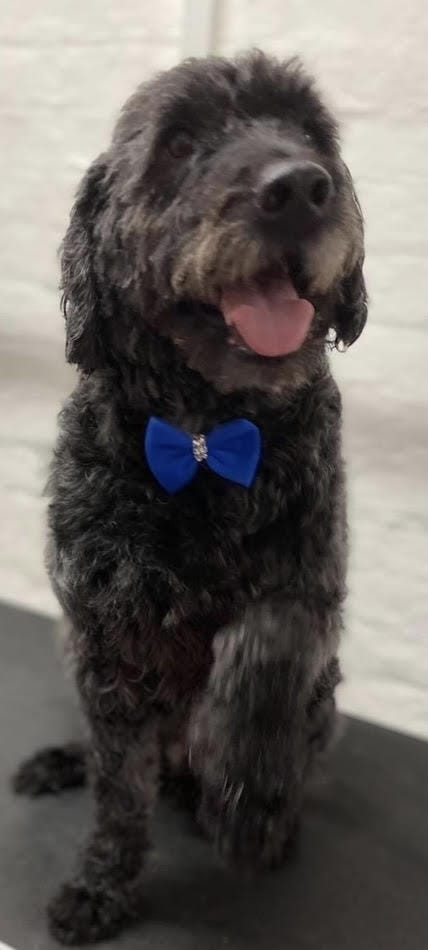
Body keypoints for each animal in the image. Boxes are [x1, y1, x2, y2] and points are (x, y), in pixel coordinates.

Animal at [14, 52, 368, 944]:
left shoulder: (314, 581)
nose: (299, 188)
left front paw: (246, 799)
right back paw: (66, 761)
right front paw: (101, 885)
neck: (206, 439)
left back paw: (261, 809)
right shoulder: (105, 639)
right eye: (178, 143)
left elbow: (264, 642)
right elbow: (118, 793)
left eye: (308, 131)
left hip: (326, 702)